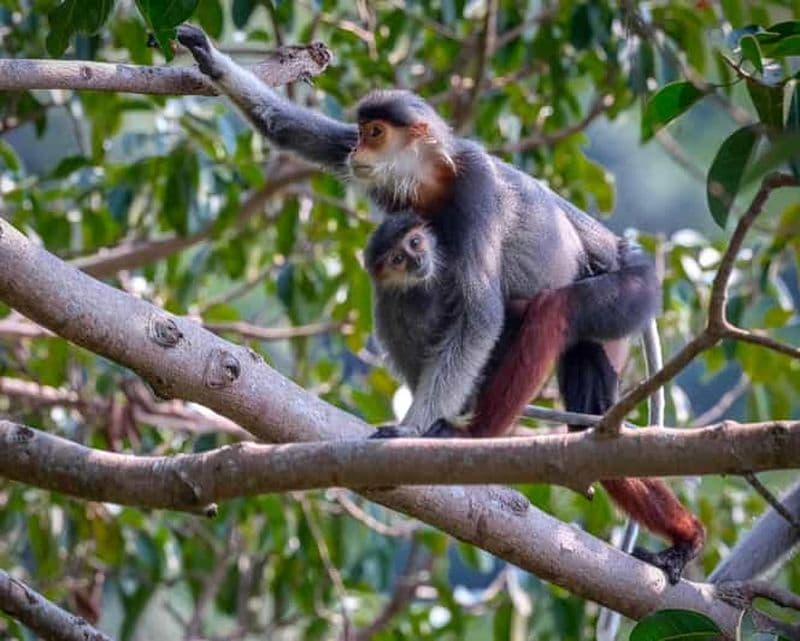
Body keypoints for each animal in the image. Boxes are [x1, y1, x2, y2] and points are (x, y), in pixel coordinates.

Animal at [176, 24, 704, 583]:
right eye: (360, 132)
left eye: (377, 132)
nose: (359, 150)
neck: (432, 182)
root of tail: (622, 251)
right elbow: (291, 130)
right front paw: (207, 57)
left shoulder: (475, 188)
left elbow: (481, 313)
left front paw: (412, 429)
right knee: (592, 417)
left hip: (629, 295)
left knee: (551, 312)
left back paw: (480, 439)